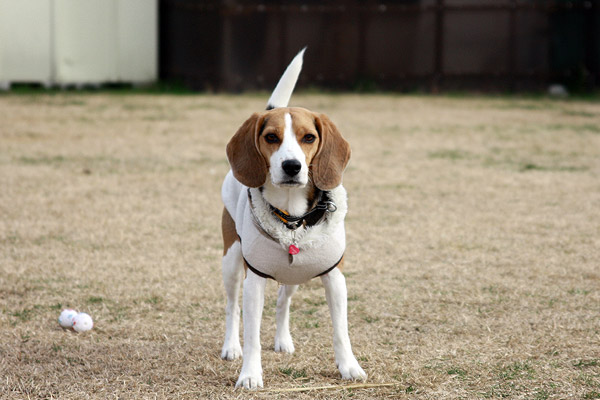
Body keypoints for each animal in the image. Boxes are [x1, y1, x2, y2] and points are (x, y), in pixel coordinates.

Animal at [218, 48, 364, 390]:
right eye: (271, 137)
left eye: (308, 137)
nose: (292, 166)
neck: (293, 219)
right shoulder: (254, 279)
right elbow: (252, 335)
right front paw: (249, 374)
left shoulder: (335, 278)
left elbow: (341, 332)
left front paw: (349, 367)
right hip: (232, 261)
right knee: (231, 308)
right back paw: (231, 347)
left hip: (296, 274)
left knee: (283, 302)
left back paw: (283, 340)